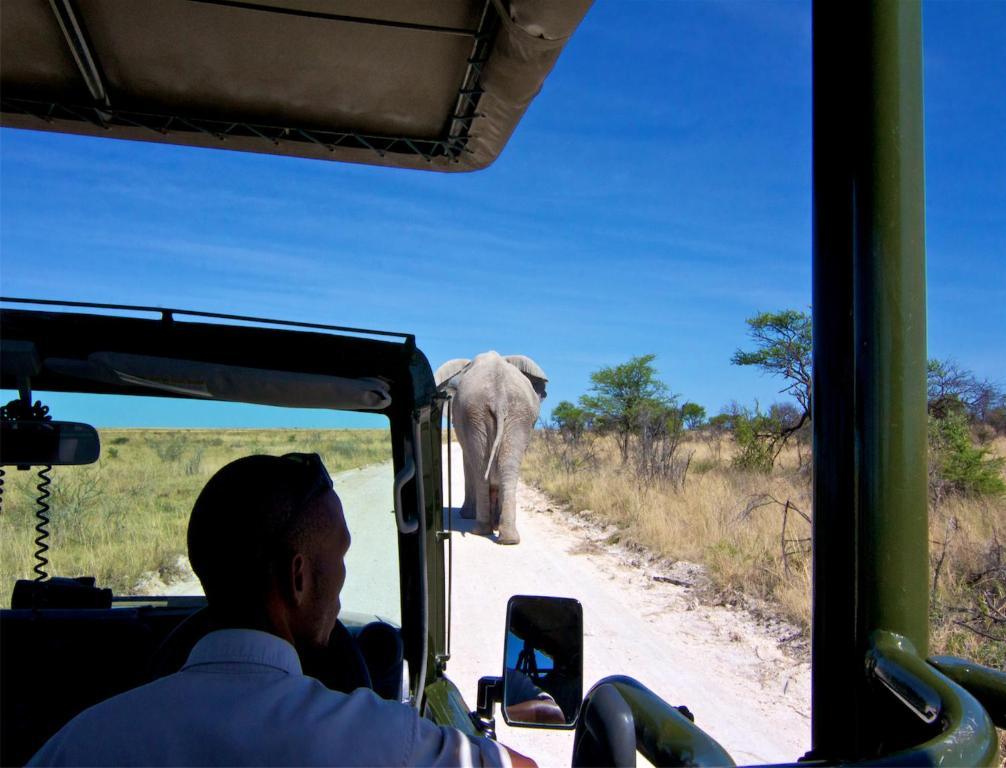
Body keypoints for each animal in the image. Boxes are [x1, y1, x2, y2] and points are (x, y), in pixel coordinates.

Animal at [434, 352, 547, 543]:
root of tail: (498, 396)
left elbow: (468, 462)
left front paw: (467, 515)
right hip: (510, 415)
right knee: (506, 469)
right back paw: (507, 538)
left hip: (487, 414)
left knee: (482, 469)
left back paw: (482, 531)